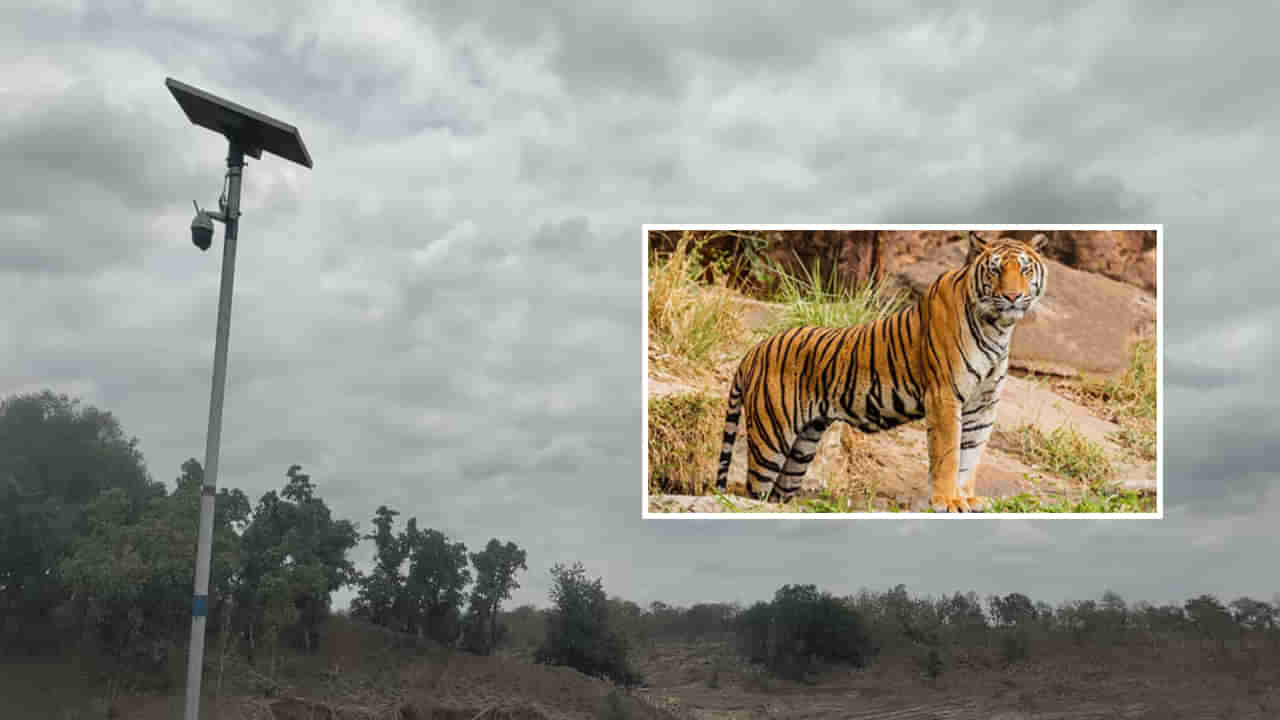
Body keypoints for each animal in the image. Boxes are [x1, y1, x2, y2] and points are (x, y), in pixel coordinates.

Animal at [715, 231, 1048, 512]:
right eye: (995, 270)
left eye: (1025, 270)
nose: (1012, 297)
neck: (998, 328)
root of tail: (754, 350)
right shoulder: (944, 396)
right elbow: (949, 454)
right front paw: (947, 501)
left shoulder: (984, 403)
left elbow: (971, 455)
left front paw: (967, 499)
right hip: (770, 439)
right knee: (754, 490)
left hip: (802, 446)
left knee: (777, 494)